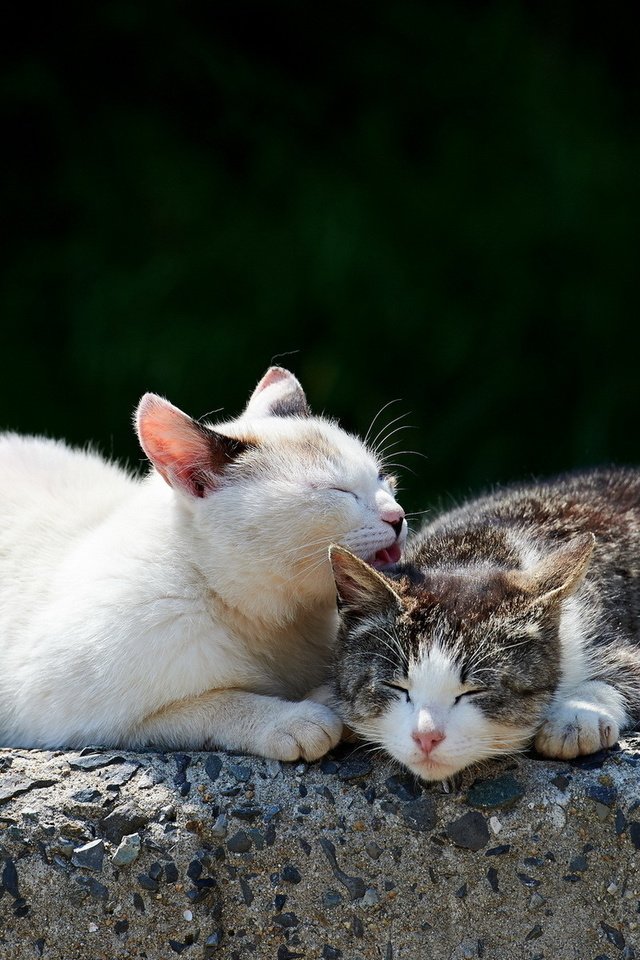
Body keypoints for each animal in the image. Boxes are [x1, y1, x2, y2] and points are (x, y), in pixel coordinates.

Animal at [0, 366, 404, 756]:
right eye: (337, 491)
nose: (397, 516)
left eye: (383, 477)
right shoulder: (56, 714)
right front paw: (292, 720)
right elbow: (212, 705)